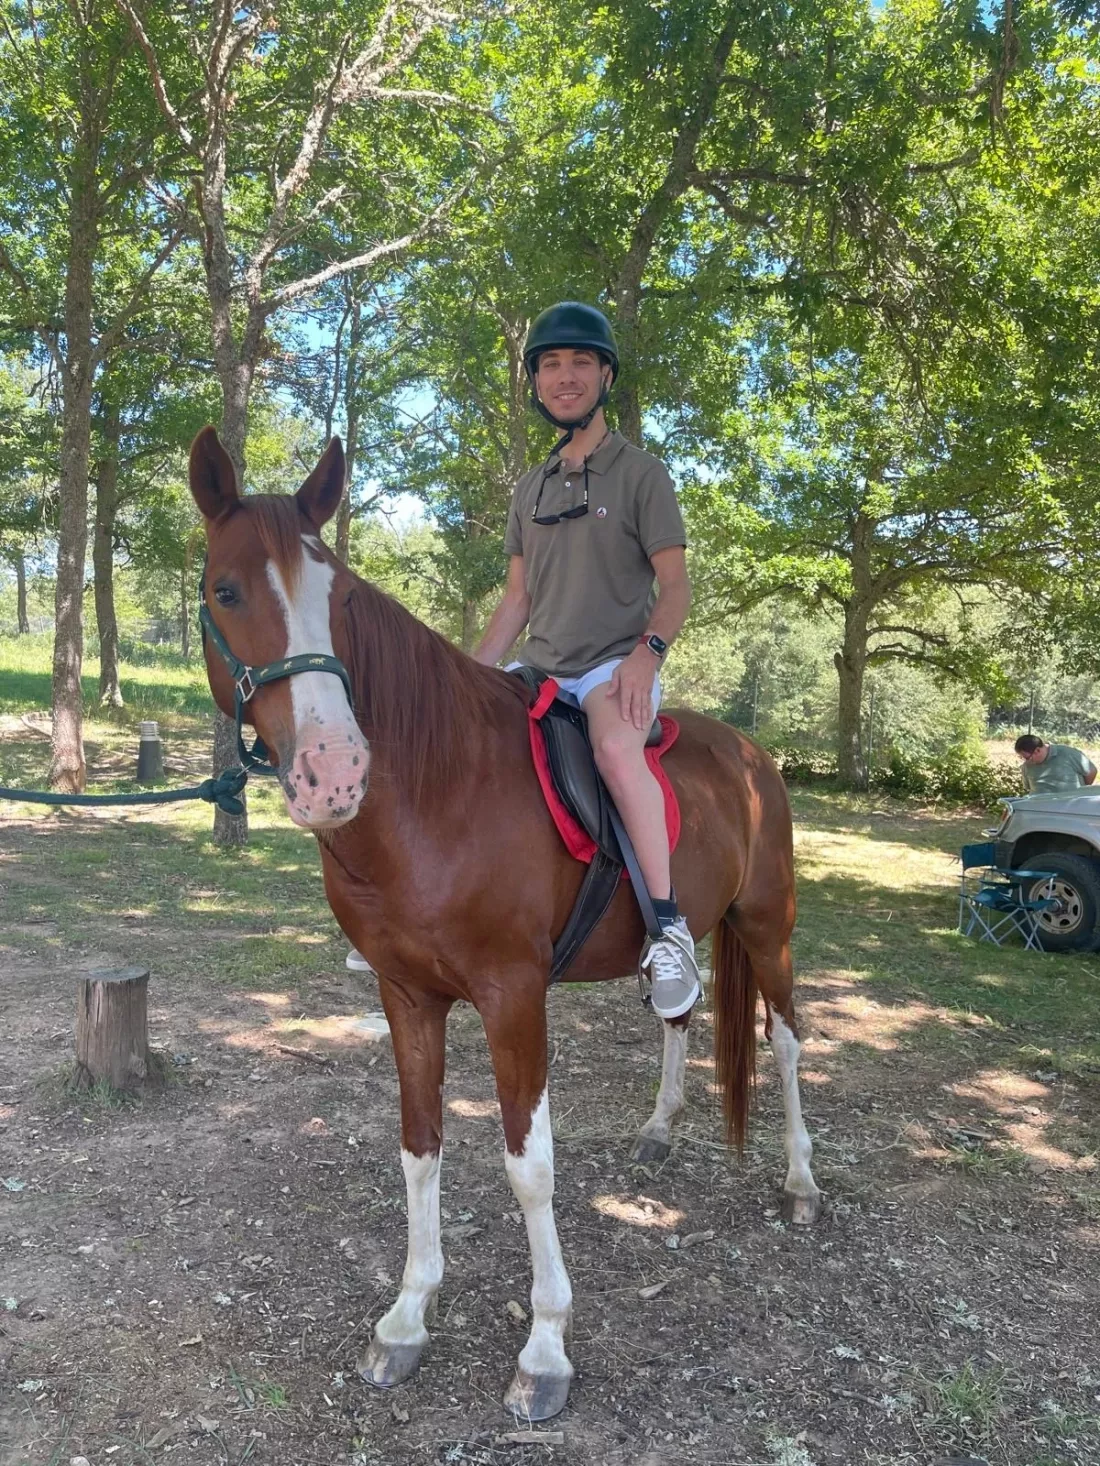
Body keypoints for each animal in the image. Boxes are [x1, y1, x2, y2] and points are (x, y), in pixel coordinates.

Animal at [188, 426, 821, 1422]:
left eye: (341, 597)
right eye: (226, 589)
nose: (336, 771)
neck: (437, 791)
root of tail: (754, 756)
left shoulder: (514, 997)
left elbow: (531, 1167)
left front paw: (546, 1349)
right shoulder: (407, 996)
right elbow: (419, 1149)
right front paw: (406, 1321)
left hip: (768, 927)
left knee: (788, 1038)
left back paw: (801, 1181)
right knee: (682, 1014)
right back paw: (661, 1128)